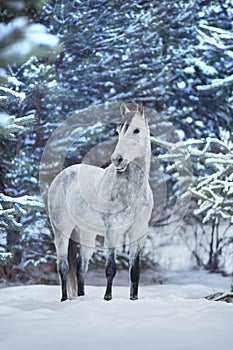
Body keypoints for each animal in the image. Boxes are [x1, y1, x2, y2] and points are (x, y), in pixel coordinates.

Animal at [48, 104, 154, 300]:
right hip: (61, 231)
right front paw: (107, 298)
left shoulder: (138, 233)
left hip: (86, 234)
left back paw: (81, 297)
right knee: (63, 267)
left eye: (136, 130)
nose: (117, 159)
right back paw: (65, 299)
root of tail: (61, 176)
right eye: (118, 130)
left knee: (81, 268)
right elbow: (110, 268)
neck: (132, 191)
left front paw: (134, 298)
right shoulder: (112, 232)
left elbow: (135, 271)